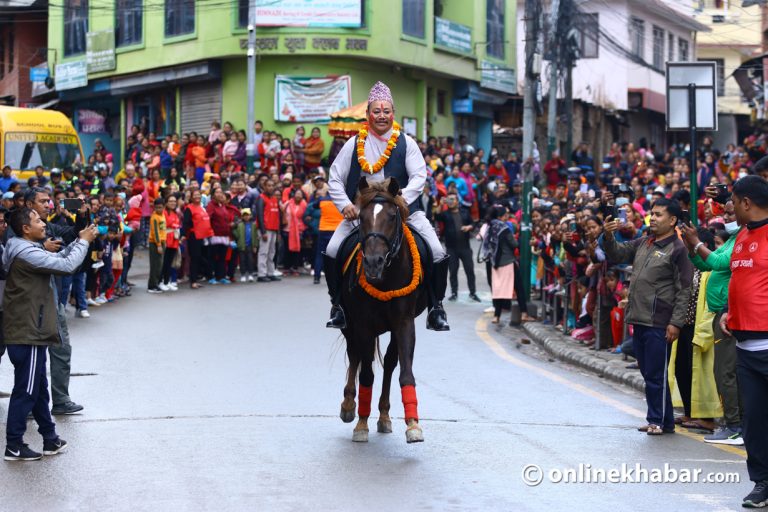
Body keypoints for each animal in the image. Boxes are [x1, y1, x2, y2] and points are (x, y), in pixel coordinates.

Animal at [340, 178, 428, 442]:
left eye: (391, 216)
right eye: (361, 216)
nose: (372, 262)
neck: (385, 279)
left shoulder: (404, 322)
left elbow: (404, 370)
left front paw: (413, 424)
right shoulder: (363, 324)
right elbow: (366, 373)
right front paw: (361, 423)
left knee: (388, 362)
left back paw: (384, 415)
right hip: (348, 323)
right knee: (355, 355)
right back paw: (349, 406)